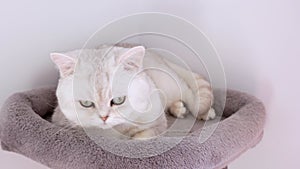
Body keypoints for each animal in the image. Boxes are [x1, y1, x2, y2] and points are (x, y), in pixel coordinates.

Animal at [51, 44, 216, 139]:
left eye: (118, 100)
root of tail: (157, 56)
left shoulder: (156, 123)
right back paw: (178, 109)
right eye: (86, 103)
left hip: (169, 83)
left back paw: (204, 112)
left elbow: (142, 137)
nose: (104, 117)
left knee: (188, 92)